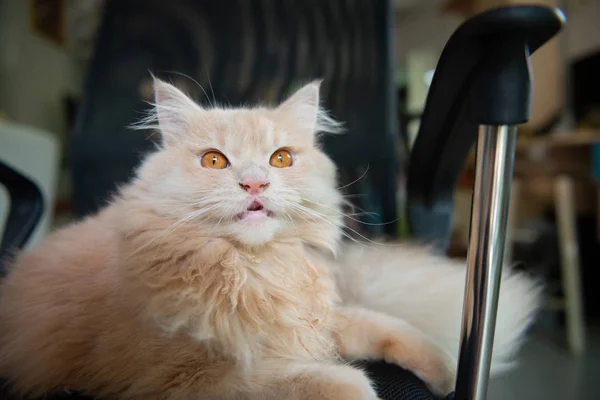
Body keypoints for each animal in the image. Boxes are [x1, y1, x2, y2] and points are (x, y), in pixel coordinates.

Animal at [0, 78, 540, 400]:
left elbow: (386, 326)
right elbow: (310, 380)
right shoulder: (184, 378)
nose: (255, 184)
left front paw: (446, 368)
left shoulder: (310, 318)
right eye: (214, 161)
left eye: (280, 158)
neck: (250, 269)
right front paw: (359, 387)